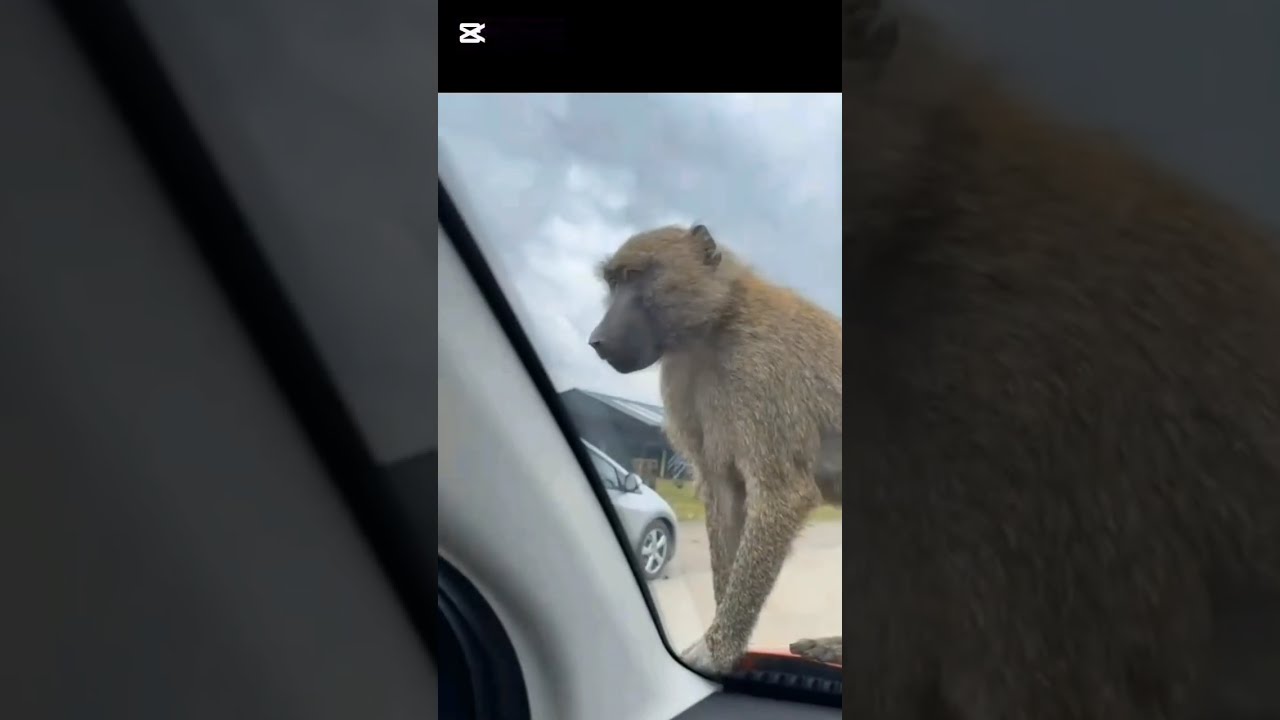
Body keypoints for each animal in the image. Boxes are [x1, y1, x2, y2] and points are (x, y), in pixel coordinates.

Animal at [588, 223, 843, 676]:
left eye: (636, 276)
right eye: (613, 283)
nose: (597, 340)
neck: (715, 326)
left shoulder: (762, 375)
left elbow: (783, 495)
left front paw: (716, 652)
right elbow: (724, 494)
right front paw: (724, 645)